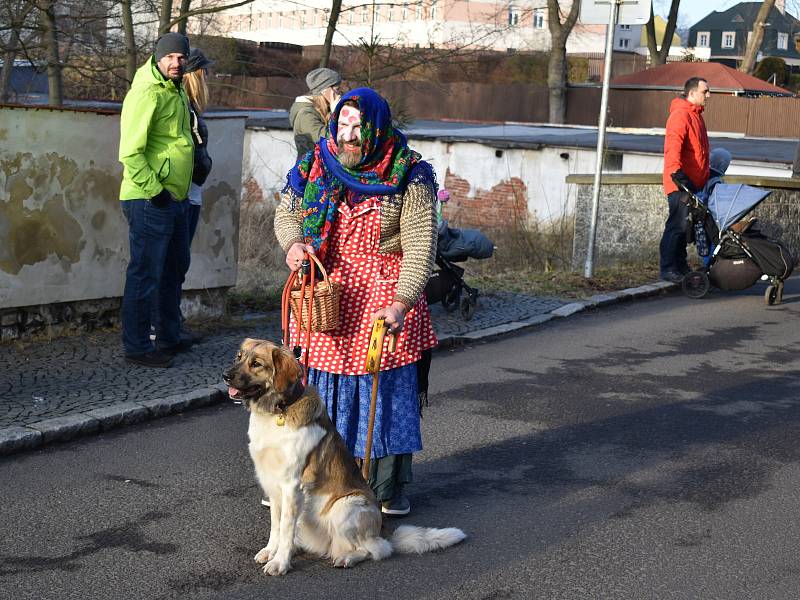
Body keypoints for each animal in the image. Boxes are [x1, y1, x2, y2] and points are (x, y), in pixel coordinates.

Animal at [222, 338, 466, 576]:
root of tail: (383, 530)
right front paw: (271, 551)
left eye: (256, 364)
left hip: (346, 507)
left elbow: (286, 527)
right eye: (238, 357)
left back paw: (347, 558)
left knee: (377, 549)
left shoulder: (291, 485)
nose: (225, 376)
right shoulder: (272, 485)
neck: (278, 411)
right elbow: (276, 525)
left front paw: (280, 562)